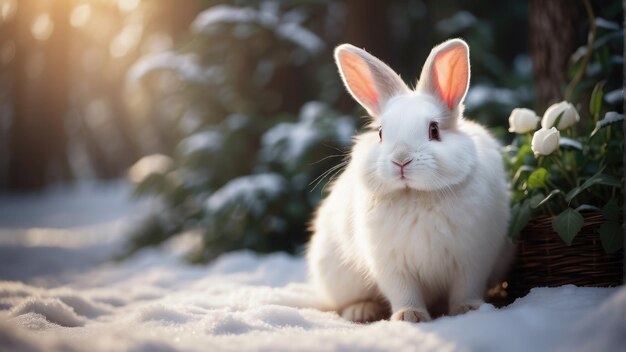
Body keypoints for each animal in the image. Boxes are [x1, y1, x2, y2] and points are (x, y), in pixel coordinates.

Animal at [304, 40, 510, 324]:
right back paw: (361, 310)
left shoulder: (473, 258)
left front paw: (468, 309)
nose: (401, 160)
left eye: (434, 130)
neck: (416, 194)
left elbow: (466, 288)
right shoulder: (391, 264)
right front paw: (409, 316)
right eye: (381, 133)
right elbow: (403, 291)